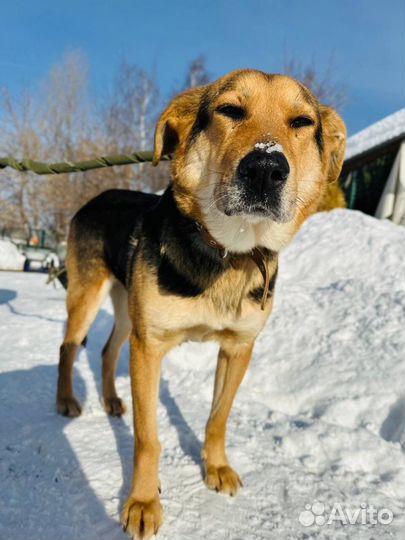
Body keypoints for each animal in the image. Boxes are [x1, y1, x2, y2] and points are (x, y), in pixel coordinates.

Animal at [56, 69, 346, 536]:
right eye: (229, 110)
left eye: (302, 122)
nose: (265, 168)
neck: (228, 254)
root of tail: (98, 196)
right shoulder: (150, 346)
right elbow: (148, 438)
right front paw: (142, 501)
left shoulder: (238, 348)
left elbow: (218, 418)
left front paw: (217, 468)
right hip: (88, 297)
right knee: (68, 347)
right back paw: (66, 400)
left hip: (126, 310)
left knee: (106, 349)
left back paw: (111, 400)